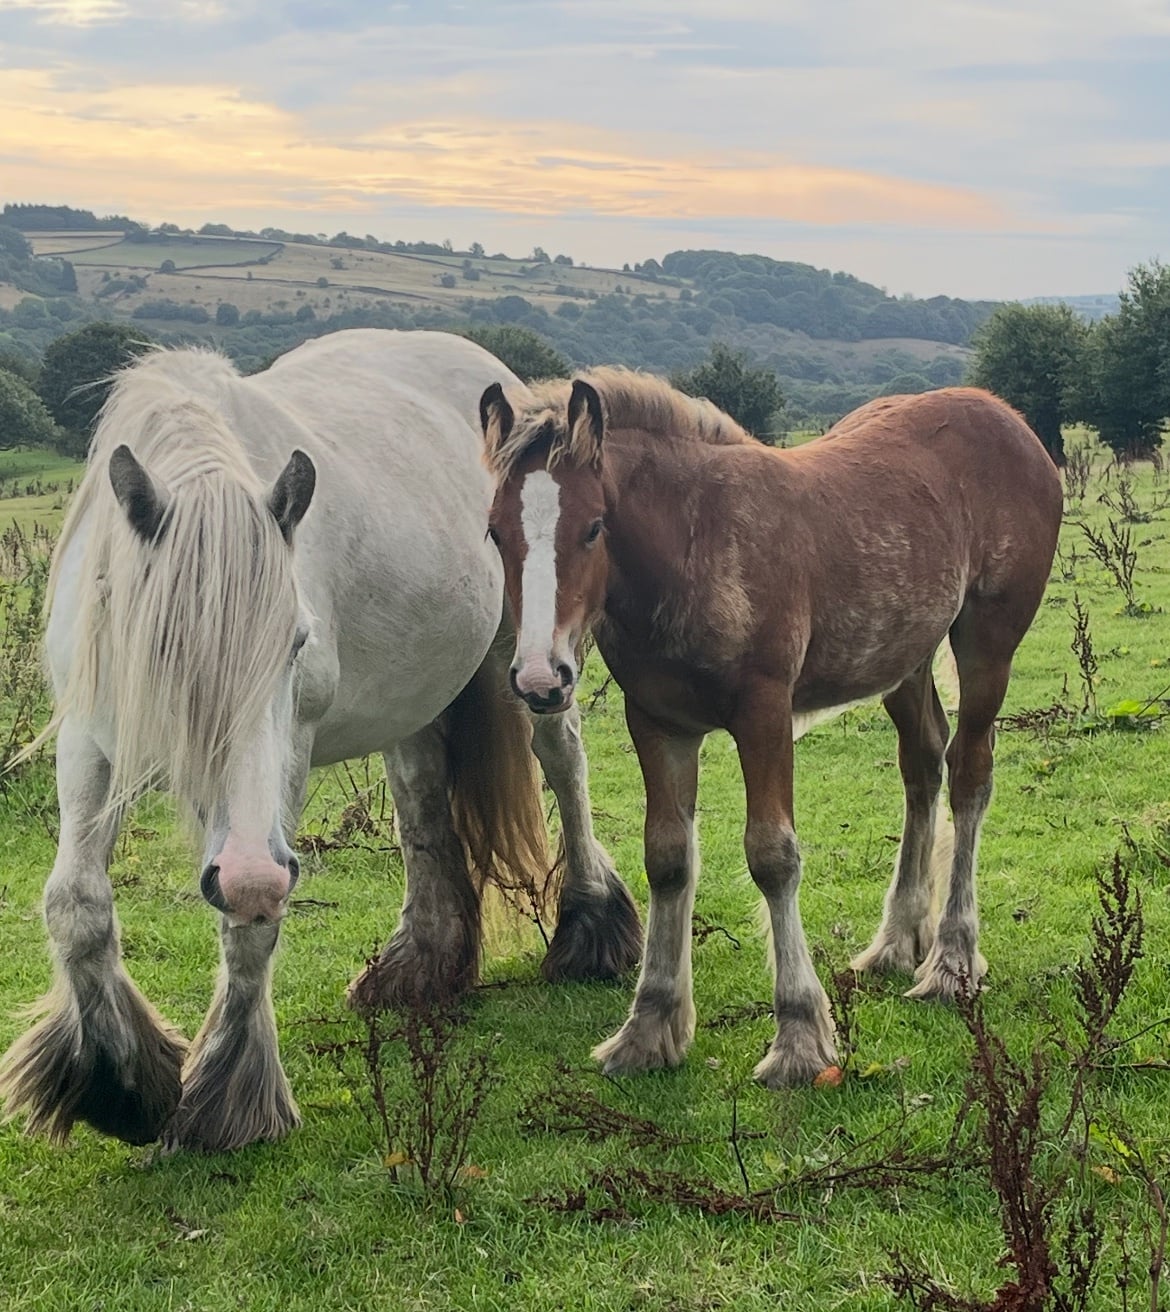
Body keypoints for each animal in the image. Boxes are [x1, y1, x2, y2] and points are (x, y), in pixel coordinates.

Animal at [0, 329, 640, 1153]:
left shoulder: (288, 757)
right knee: (420, 803)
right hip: (414, 698)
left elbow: (249, 927)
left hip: (530, 664)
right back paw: (420, 965)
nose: (246, 871)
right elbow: (75, 904)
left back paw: (591, 929)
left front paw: (227, 1098)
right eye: (164, 645)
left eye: (296, 642)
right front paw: (120, 1085)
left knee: (564, 765)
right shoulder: (90, 739)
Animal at [481, 374, 1062, 1086]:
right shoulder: (658, 723)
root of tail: (1006, 415)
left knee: (970, 774)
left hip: (988, 642)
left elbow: (772, 856)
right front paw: (648, 1030)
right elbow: (667, 859)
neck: (696, 543)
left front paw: (799, 1037)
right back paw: (896, 942)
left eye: (593, 528)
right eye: (494, 532)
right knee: (923, 764)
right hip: (904, 656)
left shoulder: (765, 713)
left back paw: (951, 962)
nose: (542, 678)